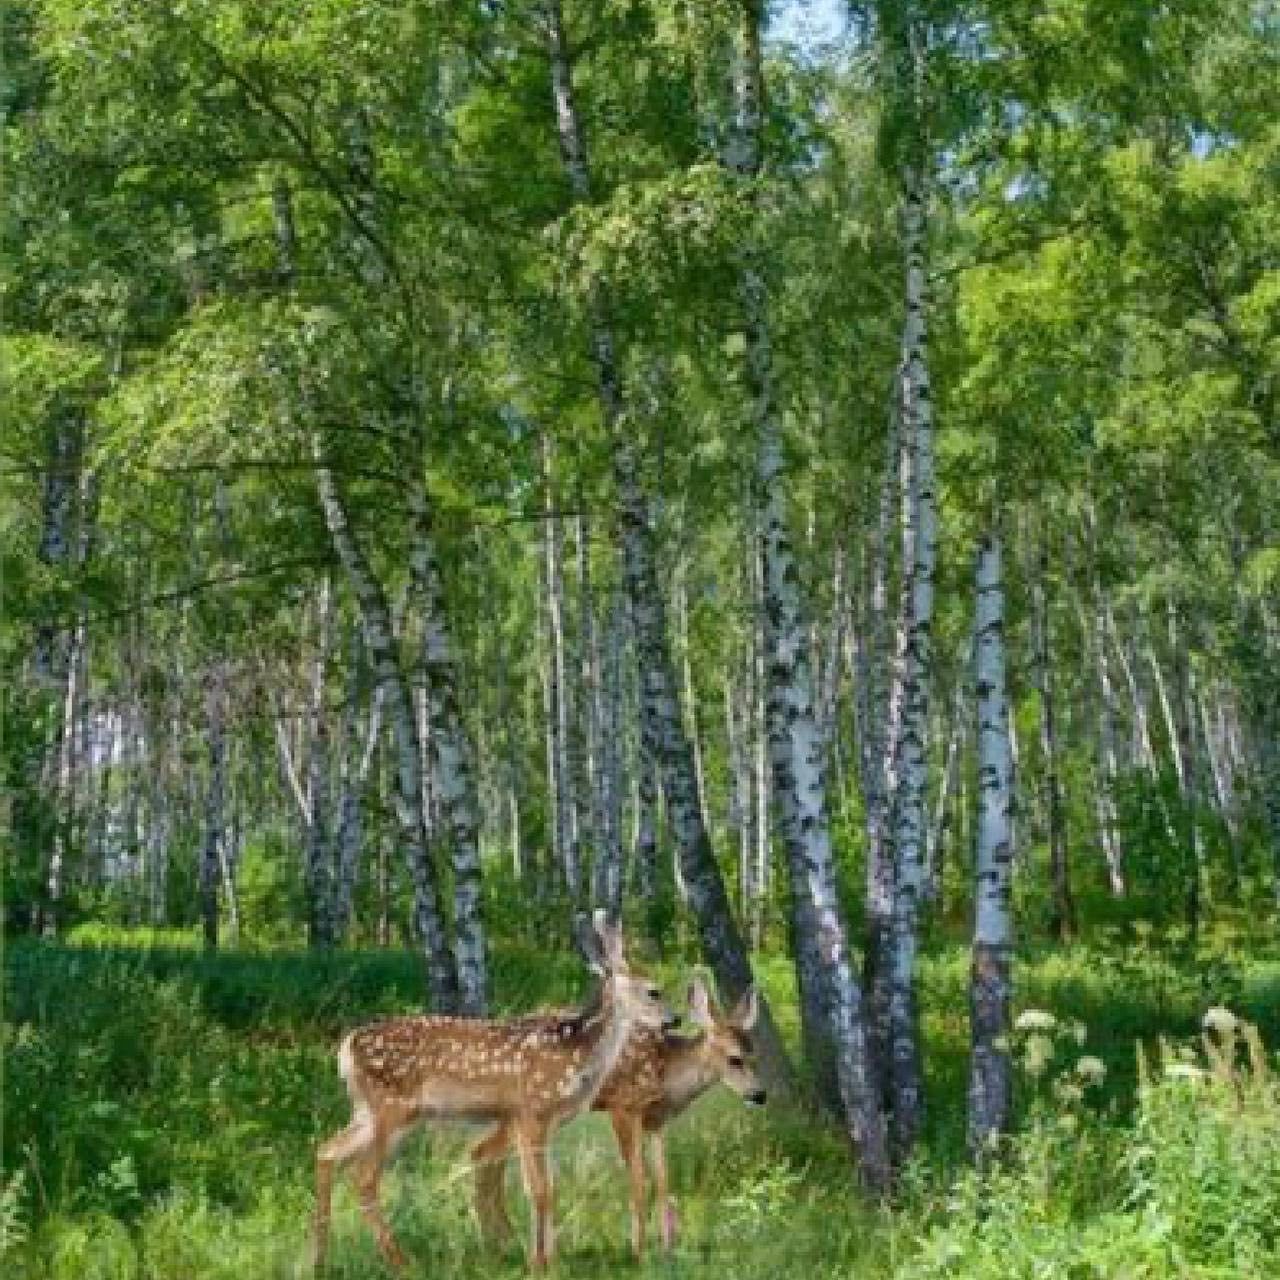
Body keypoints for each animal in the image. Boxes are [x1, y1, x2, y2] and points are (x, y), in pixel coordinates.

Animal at [312, 911, 670, 1269]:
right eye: (654, 991)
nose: (674, 1019)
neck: (576, 1052)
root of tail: (346, 1046)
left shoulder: (541, 1121)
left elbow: (545, 1188)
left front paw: (545, 1258)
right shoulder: (531, 1111)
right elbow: (539, 1190)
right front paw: (539, 1264)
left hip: (367, 1111)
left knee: (326, 1152)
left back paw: (320, 1258)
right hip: (393, 1109)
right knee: (364, 1177)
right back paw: (401, 1261)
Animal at [473, 972, 762, 1254]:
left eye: (754, 1054)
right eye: (734, 1059)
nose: (760, 1095)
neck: (668, 1073)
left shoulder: (655, 1121)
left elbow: (663, 1182)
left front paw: (668, 1249)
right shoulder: (623, 1106)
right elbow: (639, 1182)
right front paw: (639, 1250)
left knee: (486, 1154)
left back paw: (503, 1241)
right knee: (483, 1151)